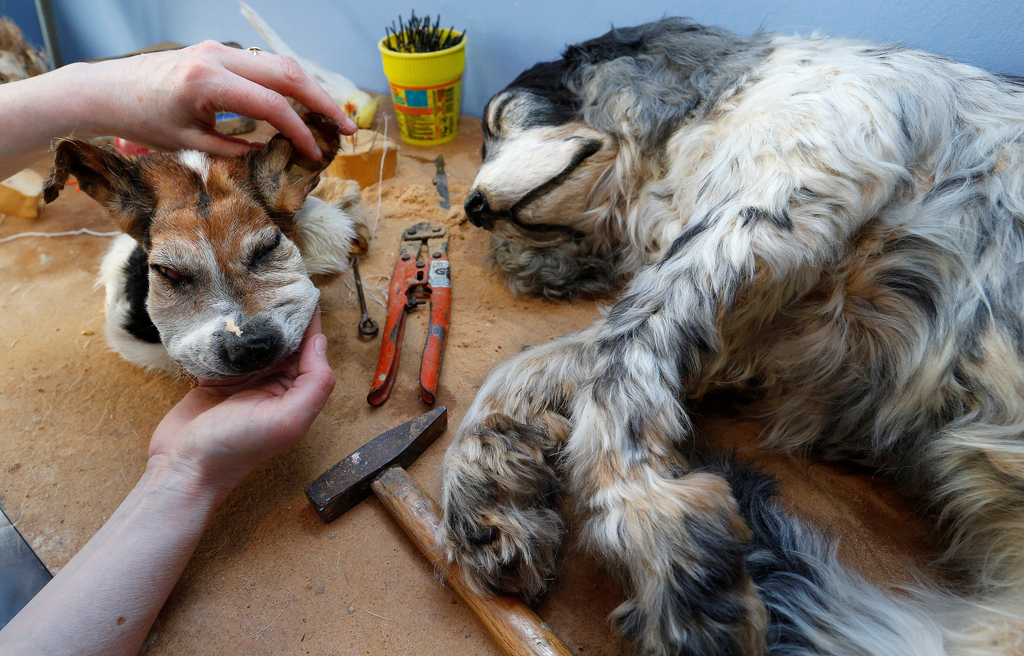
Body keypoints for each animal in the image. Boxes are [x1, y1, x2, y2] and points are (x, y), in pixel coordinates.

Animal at [438, 17, 1024, 650]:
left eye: (500, 116)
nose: (473, 208)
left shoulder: (792, 183)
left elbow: (613, 369)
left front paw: (659, 533)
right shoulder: (743, 330)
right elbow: (522, 372)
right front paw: (482, 496)